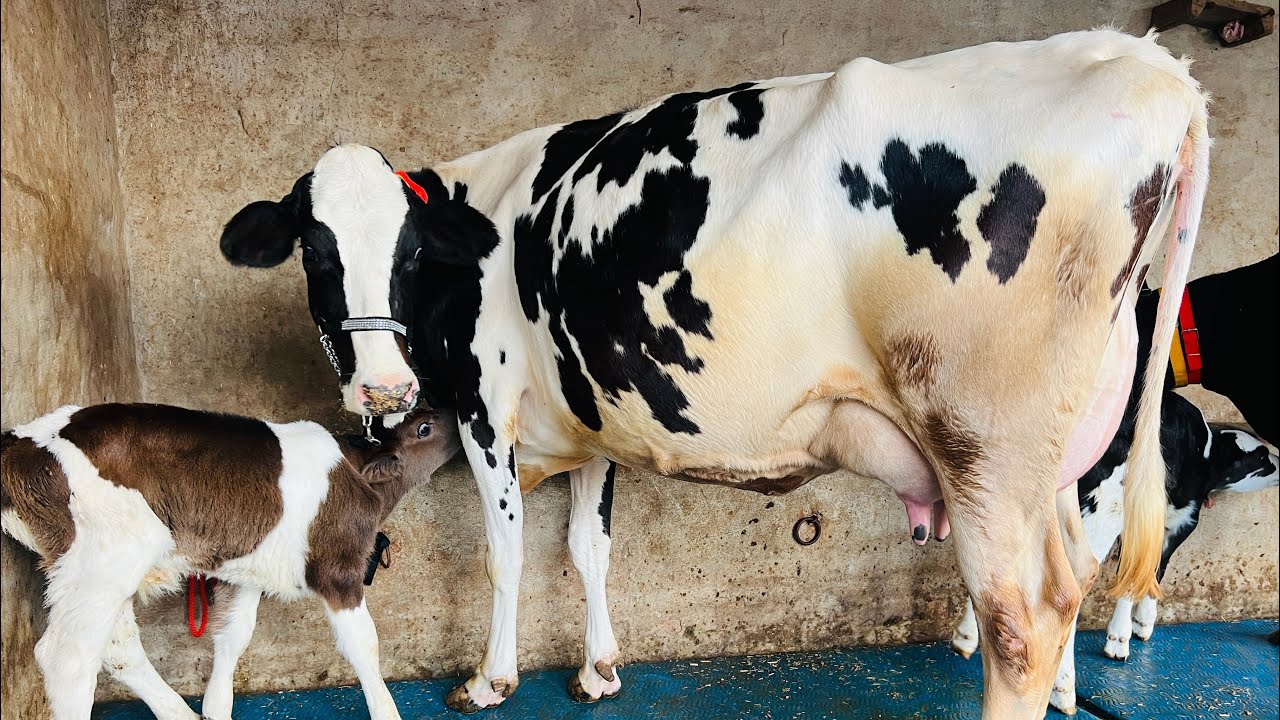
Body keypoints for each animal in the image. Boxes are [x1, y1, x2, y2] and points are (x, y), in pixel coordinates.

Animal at [220, 30, 1210, 719]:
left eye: (412, 251)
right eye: (317, 253)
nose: (383, 391)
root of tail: (1140, 60)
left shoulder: (486, 414)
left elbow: (508, 554)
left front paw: (492, 680)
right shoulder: (595, 417)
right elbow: (587, 549)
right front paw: (600, 667)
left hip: (984, 445)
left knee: (1023, 617)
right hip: (1057, 452)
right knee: (1077, 569)